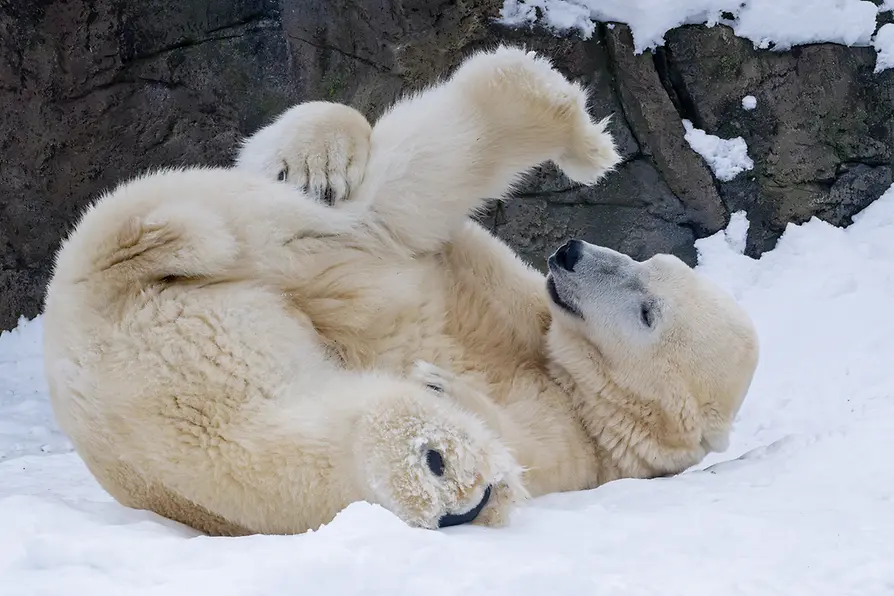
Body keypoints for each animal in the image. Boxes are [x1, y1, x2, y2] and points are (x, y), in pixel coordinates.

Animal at [43, 46, 760, 537]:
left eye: (647, 313)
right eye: (647, 258)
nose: (571, 253)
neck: (573, 381)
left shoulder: (576, 447)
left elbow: (523, 448)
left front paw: (446, 392)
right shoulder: (506, 291)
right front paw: (314, 158)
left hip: (198, 359)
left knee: (280, 425)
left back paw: (441, 463)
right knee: (376, 208)